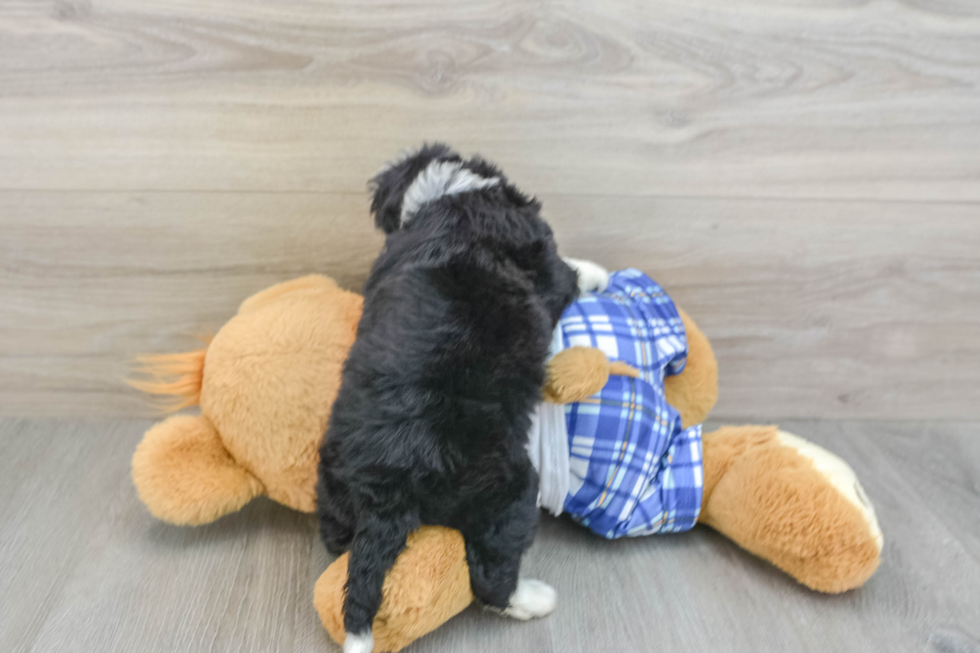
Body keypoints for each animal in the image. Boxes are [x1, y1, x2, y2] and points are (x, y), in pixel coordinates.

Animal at [318, 144, 608, 652]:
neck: (448, 196)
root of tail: (385, 480)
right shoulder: (548, 262)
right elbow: (569, 274)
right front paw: (598, 273)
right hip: (508, 491)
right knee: (491, 576)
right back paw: (534, 599)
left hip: (332, 478)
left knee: (339, 544)